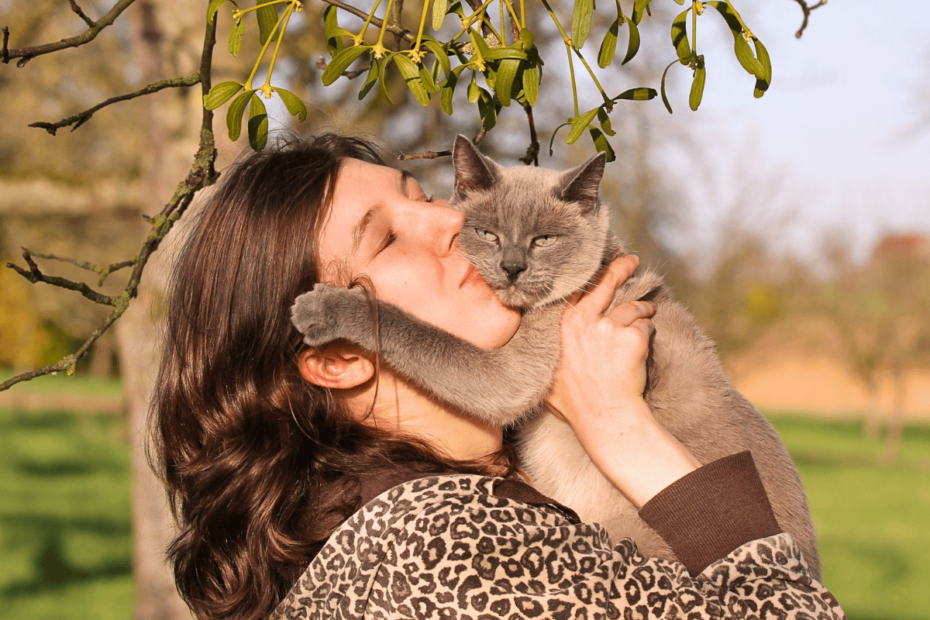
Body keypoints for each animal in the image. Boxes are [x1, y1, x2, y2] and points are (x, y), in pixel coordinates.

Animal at [292, 136, 820, 580]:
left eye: (543, 239)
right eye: (487, 233)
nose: (512, 268)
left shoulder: (510, 373)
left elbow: (409, 327)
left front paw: (317, 308)